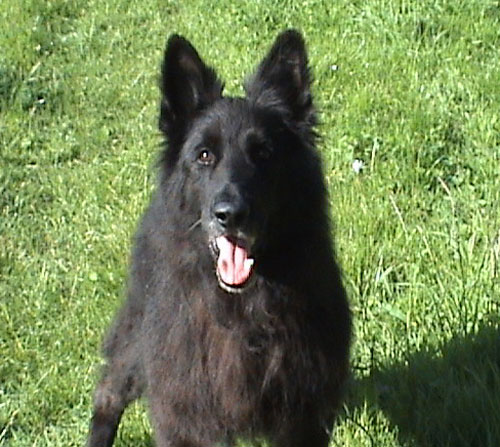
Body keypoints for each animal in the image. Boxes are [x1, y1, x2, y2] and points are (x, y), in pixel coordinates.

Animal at [87, 29, 352, 446]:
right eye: (204, 155)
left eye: (264, 153)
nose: (229, 214)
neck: (244, 312)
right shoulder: (185, 415)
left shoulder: (304, 418)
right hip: (134, 344)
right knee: (108, 391)